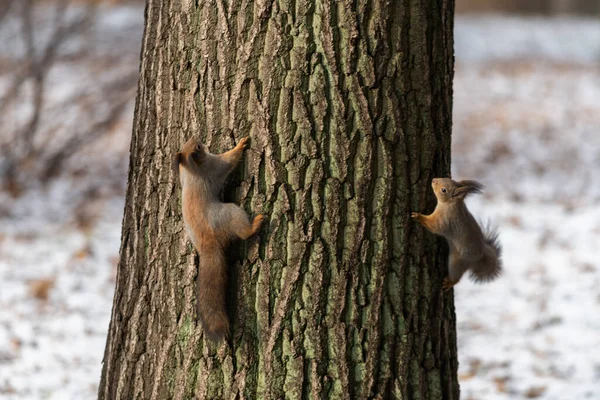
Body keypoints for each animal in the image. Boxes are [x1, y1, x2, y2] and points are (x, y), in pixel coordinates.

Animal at [176, 137, 264, 340]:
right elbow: (229, 160)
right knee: (244, 232)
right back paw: (255, 224)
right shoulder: (214, 165)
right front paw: (241, 144)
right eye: (198, 147)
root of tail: (207, 243)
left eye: (189, 143)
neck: (190, 168)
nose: (196, 137)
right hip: (230, 214)